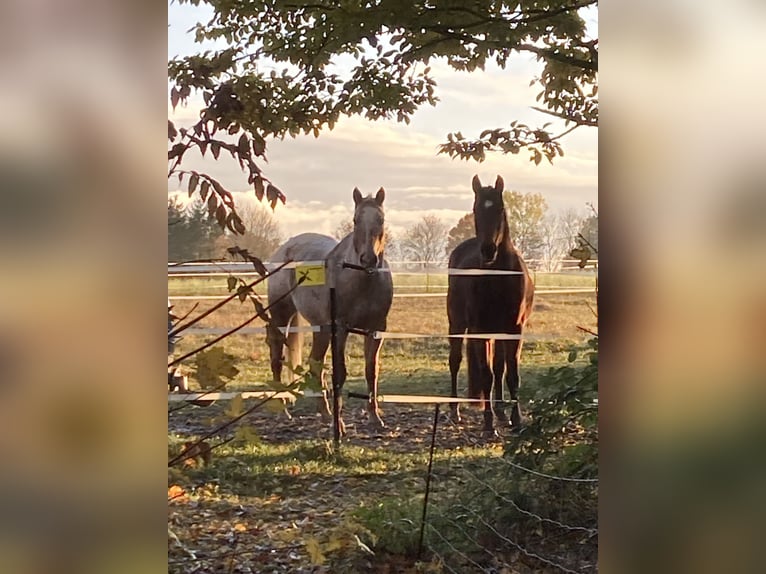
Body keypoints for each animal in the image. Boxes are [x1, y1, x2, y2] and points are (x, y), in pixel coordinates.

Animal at [268, 188, 392, 432]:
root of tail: (284, 249)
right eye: (355, 220)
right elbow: (340, 373)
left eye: (381, 220)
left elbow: (371, 371)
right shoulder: (340, 329)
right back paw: (282, 410)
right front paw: (340, 425)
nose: (368, 259)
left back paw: (324, 414)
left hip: (321, 329)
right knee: (277, 357)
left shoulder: (375, 330)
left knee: (315, 364)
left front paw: (374, 417)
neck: (361, 280)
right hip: (281, 316)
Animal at [448, 176, 536, 436]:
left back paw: (500, 412)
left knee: (499, 368)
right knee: (455, 361)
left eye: (500, 209)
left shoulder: (514, 330)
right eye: (476, 209)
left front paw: (516, 420)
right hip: (457, 324)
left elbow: (511, 375)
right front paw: (488, 425)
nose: (488, 251)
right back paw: (455, 411)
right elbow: (486, 375)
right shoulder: (481, 330)